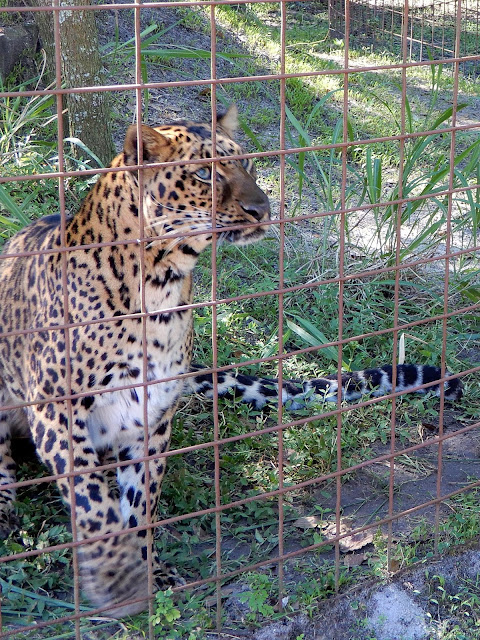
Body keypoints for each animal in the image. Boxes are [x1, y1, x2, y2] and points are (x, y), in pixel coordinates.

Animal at [0, 106, 464, 620]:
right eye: (204, 174)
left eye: (248, 164)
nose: (262, 209)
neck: (159, 287)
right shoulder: (56, 411)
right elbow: (95, 503)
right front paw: (116, 577)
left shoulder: (149, 417)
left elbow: (139, 505)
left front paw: (146, 569)